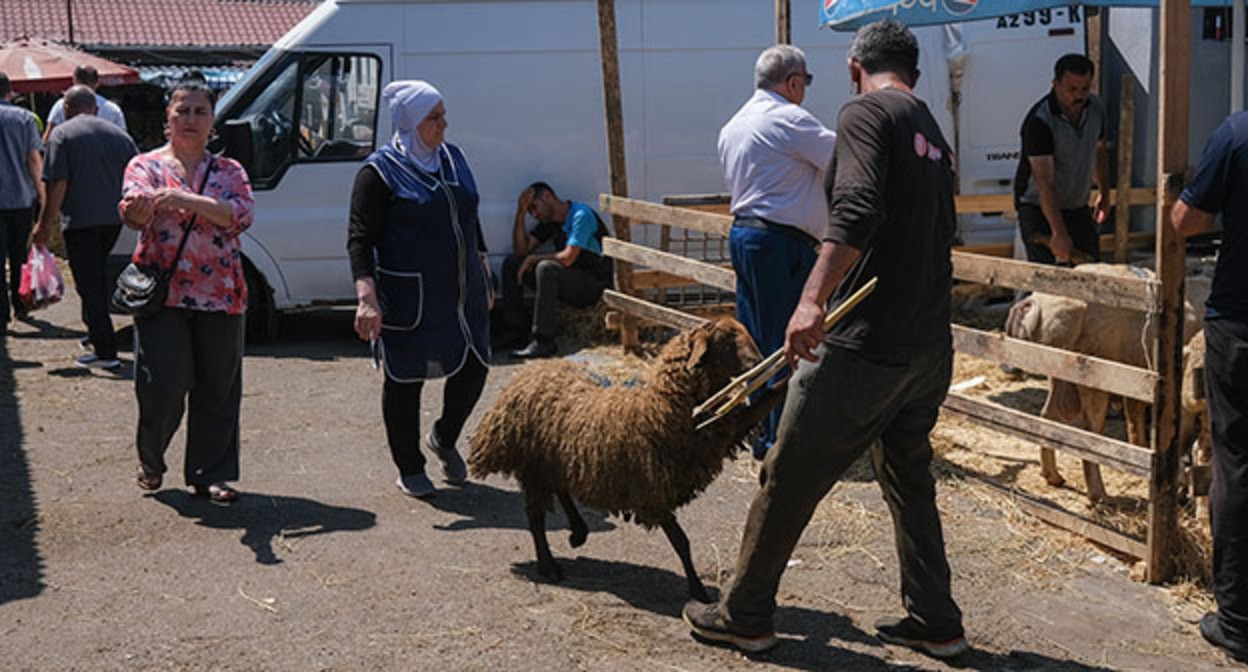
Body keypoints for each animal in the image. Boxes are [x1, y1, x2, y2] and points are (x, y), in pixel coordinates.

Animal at [466, 316, 763, 599]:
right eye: (727, 339)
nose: (758, 362)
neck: (660, 408)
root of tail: (529, 372)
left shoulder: (720, 435)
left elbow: (760, 406)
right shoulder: (653, 491)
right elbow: (681, 541)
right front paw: (698, 590)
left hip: (558, 459)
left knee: (560, 489)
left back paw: (578, 531)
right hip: (535, 466)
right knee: (536, 518)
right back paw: (549, 565)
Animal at [1003, 261, 1198, 497]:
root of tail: (1037, 303)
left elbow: (1135, 420)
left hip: (1058, 371)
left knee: (1048, 416)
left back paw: (1055, 478)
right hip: (1093, 371)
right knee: (1090, 430)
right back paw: (1100, 496)